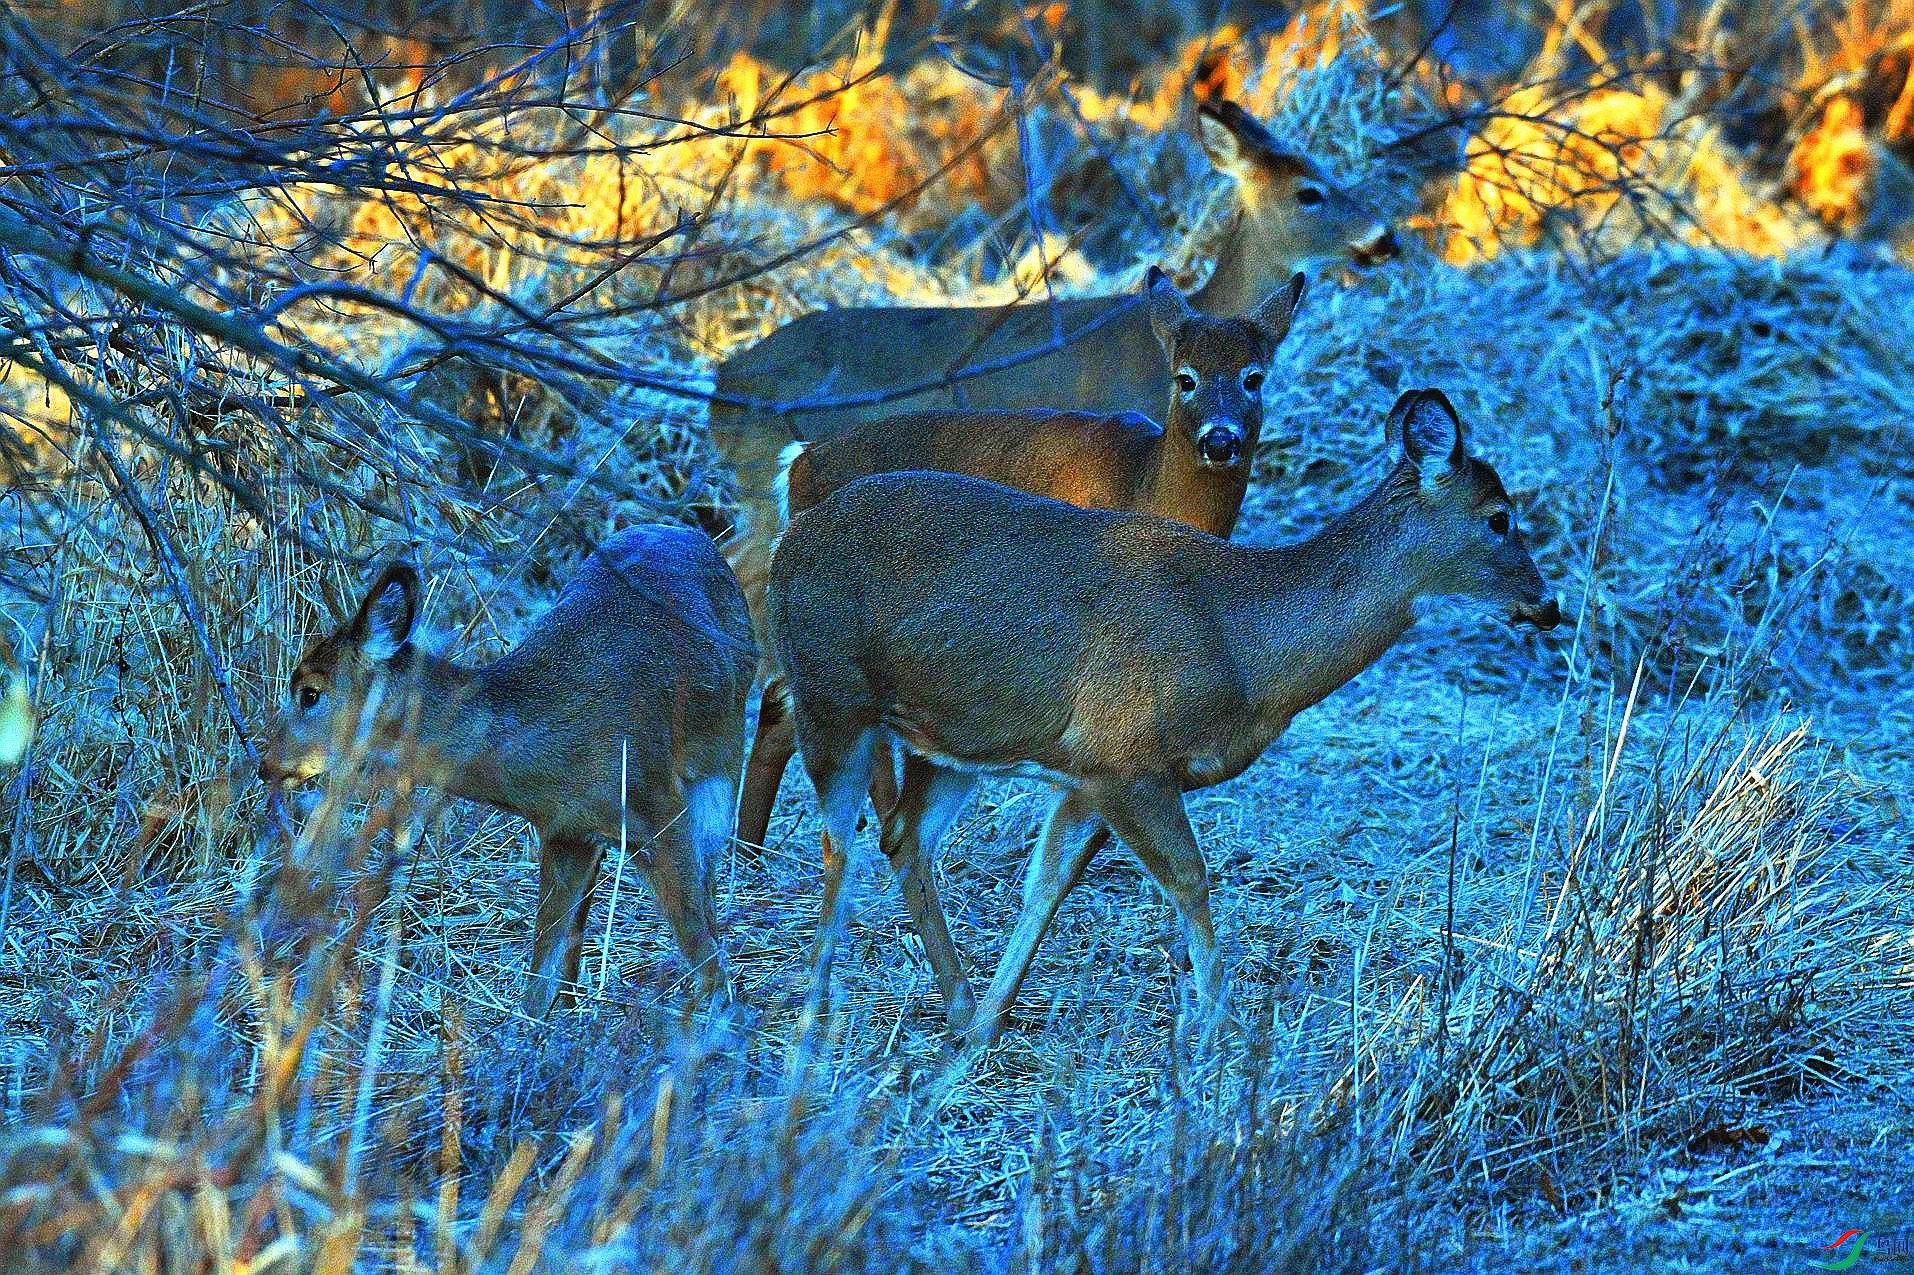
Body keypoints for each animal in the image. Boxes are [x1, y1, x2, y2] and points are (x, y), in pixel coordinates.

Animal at [262, 524, 754, 1010]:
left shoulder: (658, 803)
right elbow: (540, 974)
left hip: (722, 762)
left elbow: (701, 946)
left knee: (709, 886)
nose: (267, 764)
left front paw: (713, 1016)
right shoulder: (563, 830)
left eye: (309, 692)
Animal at [734, 264, 1316, 850]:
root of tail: (799, 463)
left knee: (786, 704)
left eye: (1253, 377)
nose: (1220, 440)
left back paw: (756, 849)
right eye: (1185, 378)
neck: (1143, 482)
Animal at [769, 386, 1561, 1041]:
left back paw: (957, 1004)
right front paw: (1215, 1030)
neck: (1242, 642)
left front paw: (988, 1024)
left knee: (903, 835)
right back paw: (813, 1015)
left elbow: (1046, 883)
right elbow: (1190, 878)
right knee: (838, 841)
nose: (1548, 604)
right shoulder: (1128, 759)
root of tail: (788, 532)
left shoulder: (1087, 769)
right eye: (1499, 518)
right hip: (831, 693)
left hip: (952, 735)